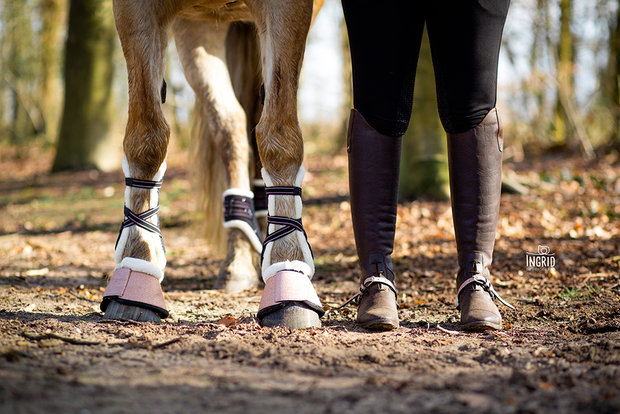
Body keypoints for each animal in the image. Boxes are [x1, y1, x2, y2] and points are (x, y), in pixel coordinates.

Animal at [98, 0, 324, 330]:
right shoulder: (139, 10)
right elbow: (147, 135)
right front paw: (139, 264)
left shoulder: (290, 9)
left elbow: (279, 135)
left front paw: (287, 265)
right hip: (200, 30)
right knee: (233, 123)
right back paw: (240, 254)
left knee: (256, 117)